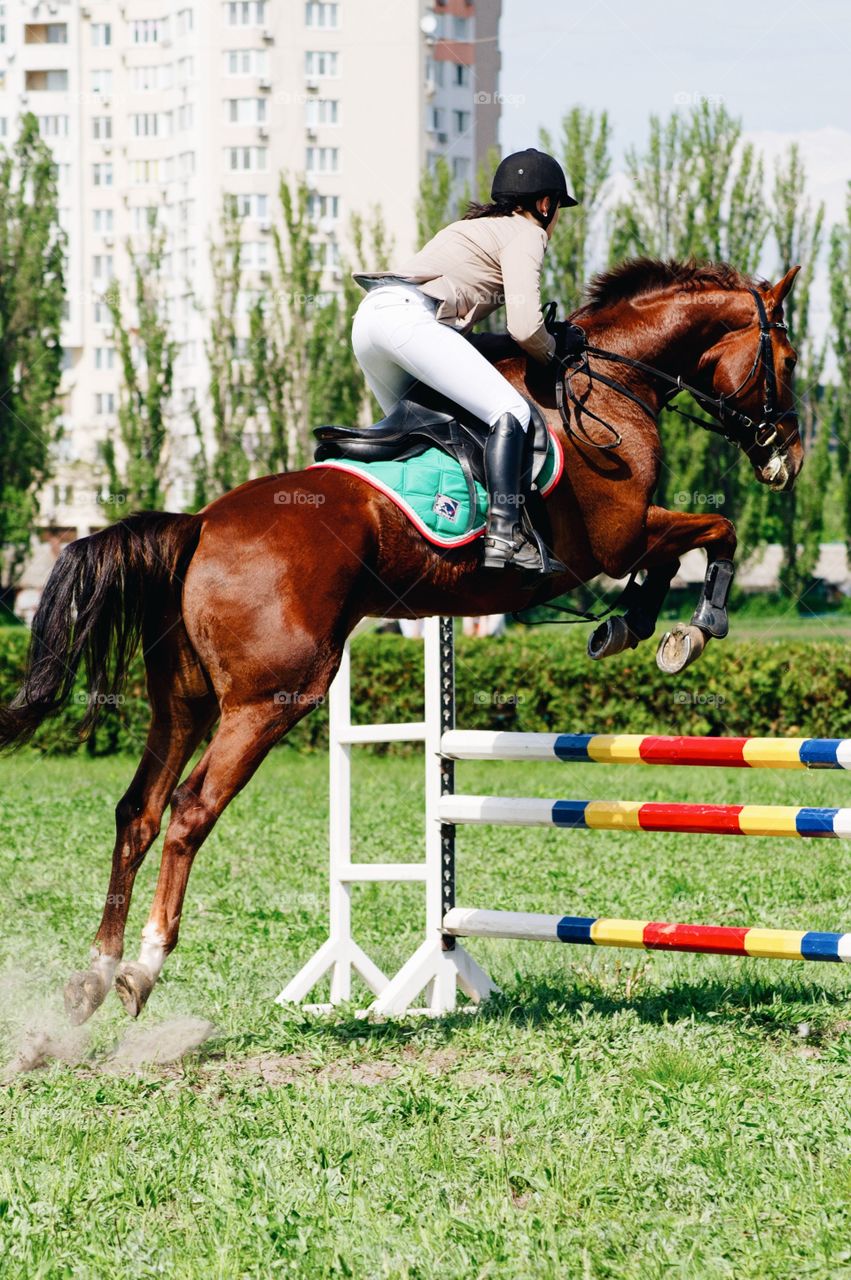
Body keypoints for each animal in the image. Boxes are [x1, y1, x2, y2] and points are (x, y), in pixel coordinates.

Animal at [0, 257, 798, 1018]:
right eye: (785, 358)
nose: (784, 456)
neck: (608, 381)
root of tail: (198, 524)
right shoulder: (618, 537)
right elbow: (712, 531)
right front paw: (683, 630)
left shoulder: (625, 539)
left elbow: (686, 547)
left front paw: (629, 626)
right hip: (273, 697)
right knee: (190, 809)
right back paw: (143, 966)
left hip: (182, 700)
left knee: (137, 810)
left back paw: (96, 974)